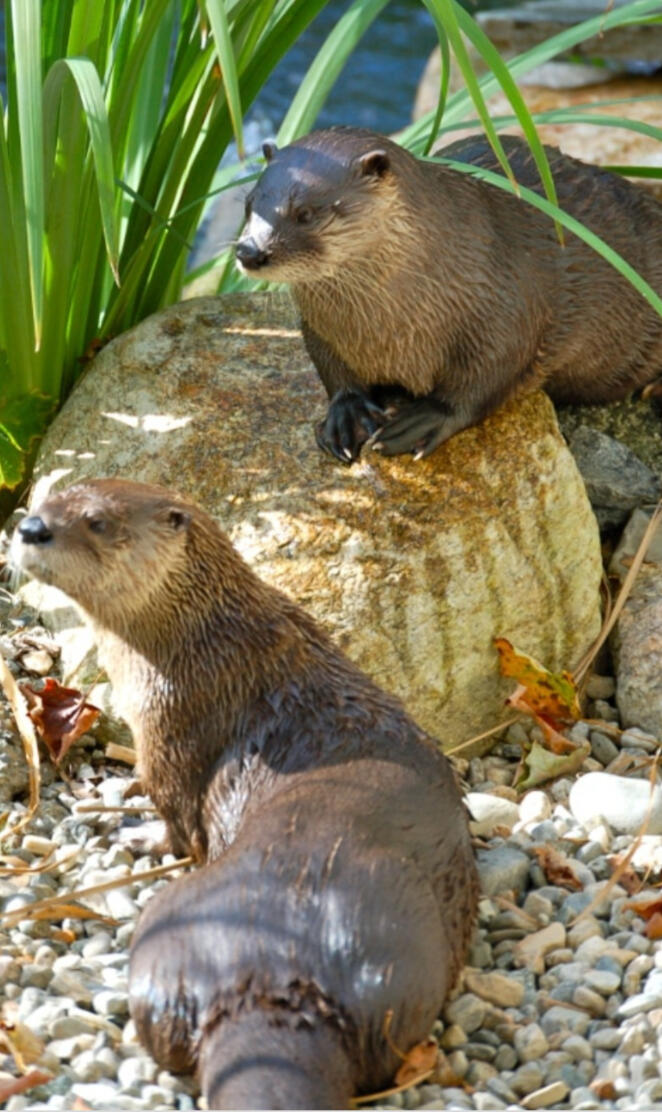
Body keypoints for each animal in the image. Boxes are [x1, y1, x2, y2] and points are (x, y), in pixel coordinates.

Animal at [12, 479, 478, 1110]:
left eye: (97, 522)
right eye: (44, 497)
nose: (31, 527)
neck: (202, 646)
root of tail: (271, 977)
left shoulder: (172, 726)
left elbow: (177, 820)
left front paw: (135, 830)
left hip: (170, 926)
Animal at [236, 126, 662, 464]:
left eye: (306, 213)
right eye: (249, 205)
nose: (249, 251)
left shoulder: (508, 311)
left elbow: (486, 379)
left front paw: (423, 419)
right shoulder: (319, 329)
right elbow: (331, 370)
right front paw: (347, 415)